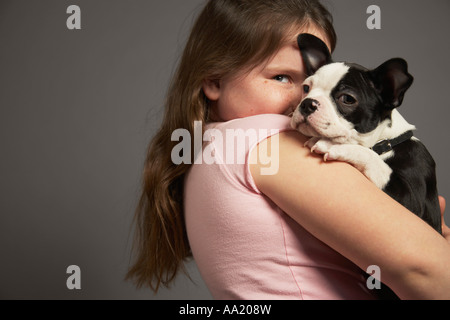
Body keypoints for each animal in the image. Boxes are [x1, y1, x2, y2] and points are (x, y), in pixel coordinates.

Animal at [290, 35, 442, 300]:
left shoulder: (413, 204)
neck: (386, 141)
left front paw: (334, 145)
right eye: (306, 88)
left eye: (347, 99)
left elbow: (374, 160)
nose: (308, 103)